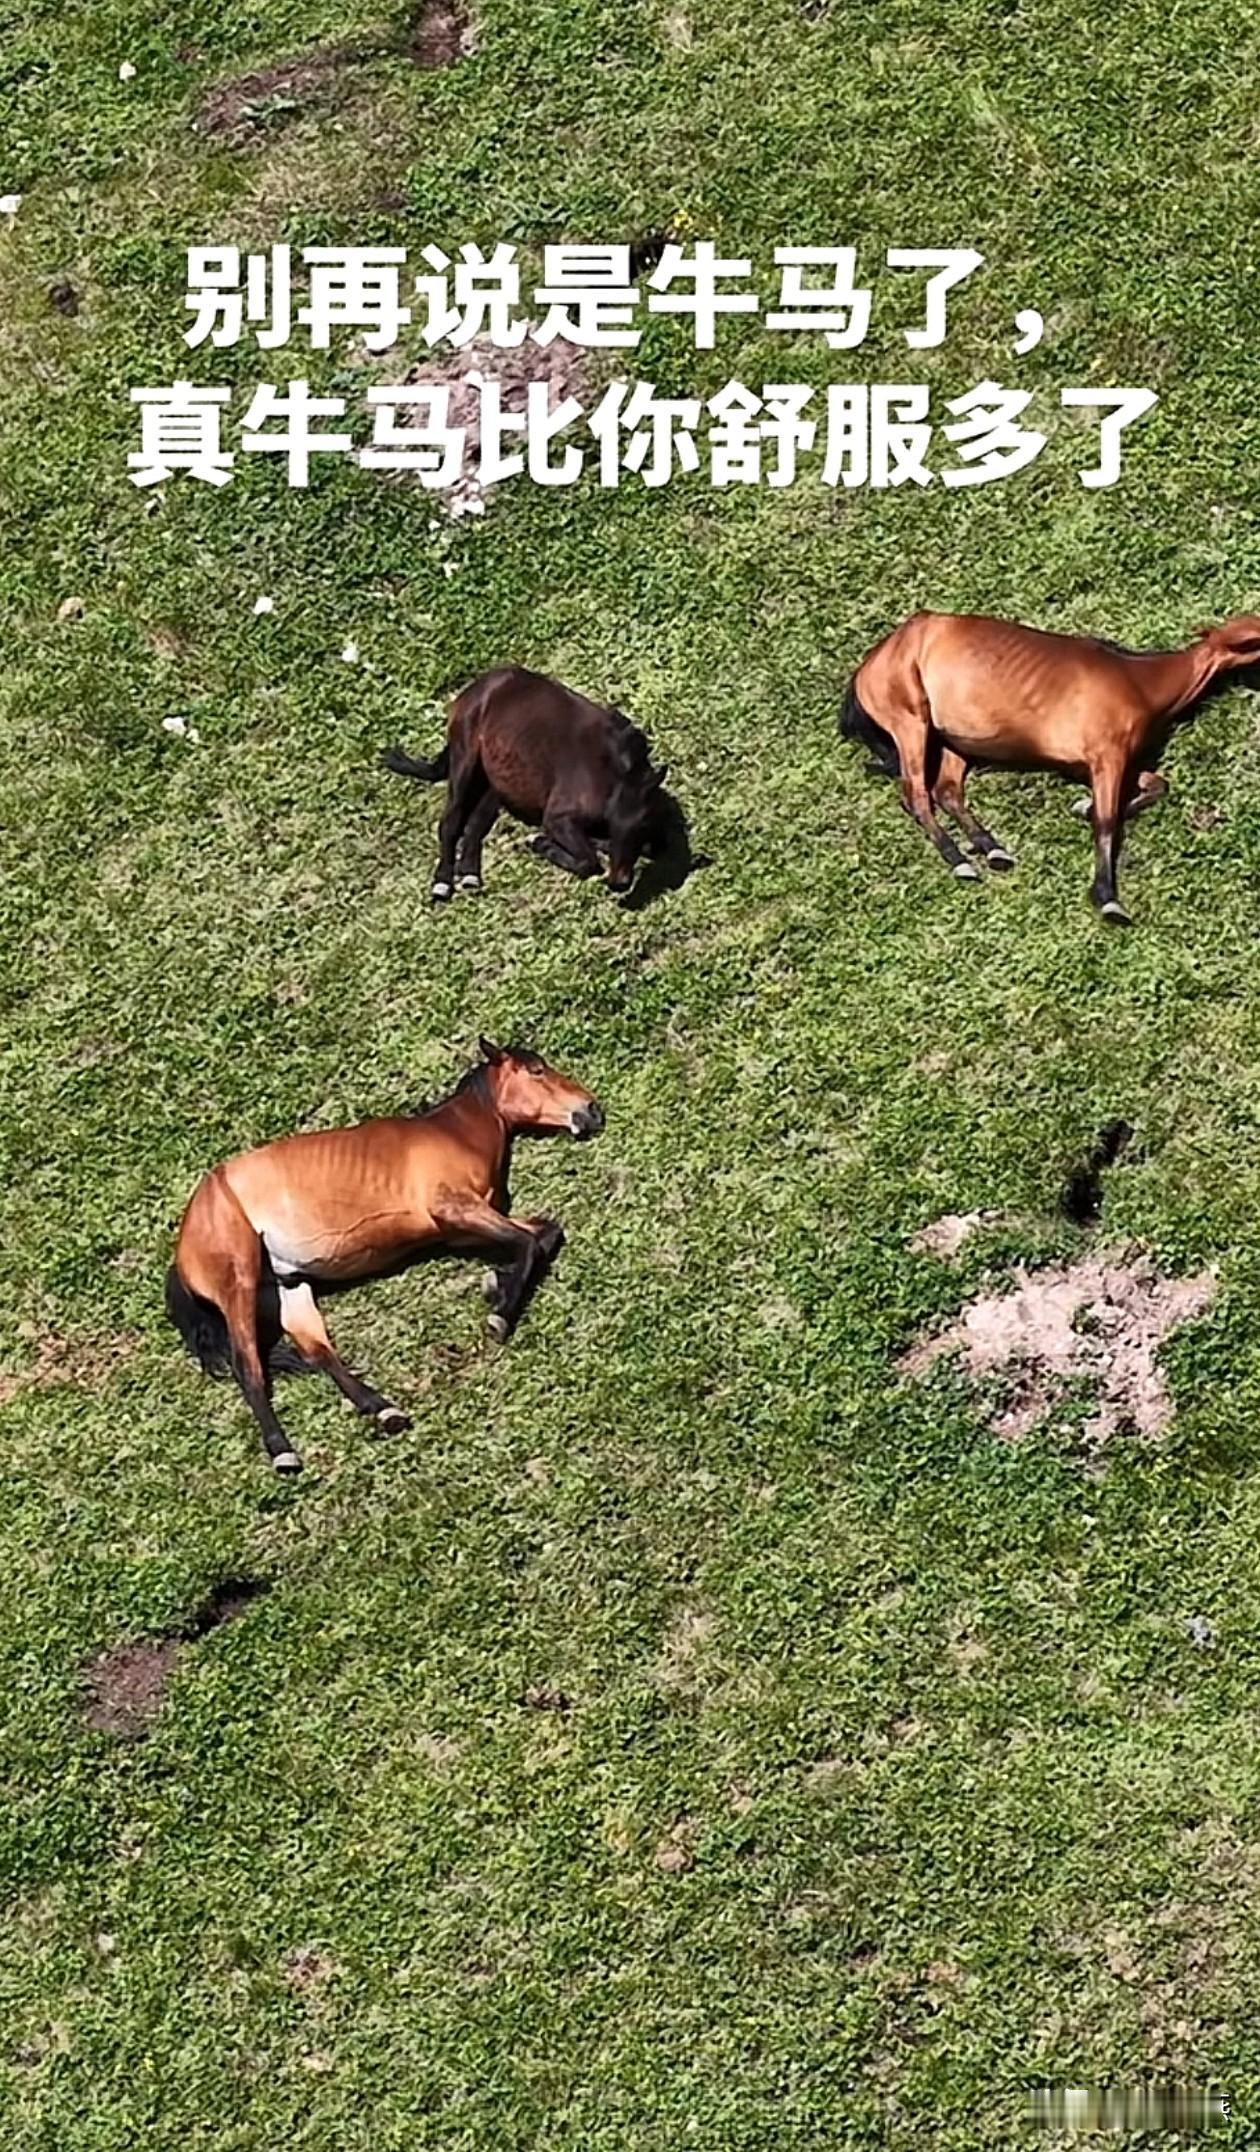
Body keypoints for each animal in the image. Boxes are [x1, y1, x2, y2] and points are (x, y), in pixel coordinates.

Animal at [165, 1041, 604, 1474]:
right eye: (536, 1070)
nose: (592, 1110)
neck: (454, 1134)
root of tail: (183, 1243)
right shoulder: (454, 1209)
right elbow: (529, 1243)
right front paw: (498, 1315)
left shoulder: (461, 1228)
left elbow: (545, 1234)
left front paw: (495, 1282)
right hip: (237, 1283)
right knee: (248, 1365)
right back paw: (283, 1451)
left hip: (286, 1287)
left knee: (318, 1352)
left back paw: (383, 1410)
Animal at [383, 665, 673, 901]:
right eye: (615, 823)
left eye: (642, 826)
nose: (619, 883)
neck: (613, 771)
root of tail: (475, 687)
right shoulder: (558, 817)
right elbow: (588, 862)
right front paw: (540, 842)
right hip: (465, 758)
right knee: (451, 821)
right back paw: (443, 882)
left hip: (496, 780)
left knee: (475, 825)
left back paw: (469, 875)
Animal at [841, 611, 1260, 922]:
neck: (1139, 681)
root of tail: (868, 665)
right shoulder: (1107, 756)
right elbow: (1107, 821)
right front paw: (1107, 897)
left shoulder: (1099, 763)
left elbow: (1156, 786)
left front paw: (1083, 807)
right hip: (911, 723)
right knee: (916, 794)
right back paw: (960, 861)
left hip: (953, 742)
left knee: (947, 792)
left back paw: (991, 848)